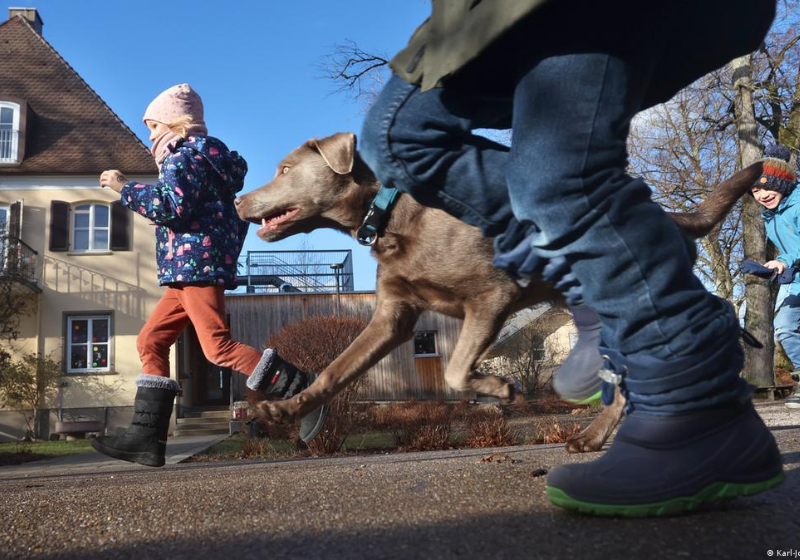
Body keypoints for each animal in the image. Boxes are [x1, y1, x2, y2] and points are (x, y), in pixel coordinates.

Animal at [233, 133, 764, 452]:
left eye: (284, 170)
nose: (238, 199)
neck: (392, 216)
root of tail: (671, 218)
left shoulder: (490, 296)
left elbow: (453, 369)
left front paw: (500, 388)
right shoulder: (392, 318)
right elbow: (335, 370)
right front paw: (281, 409)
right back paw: (594, 438)